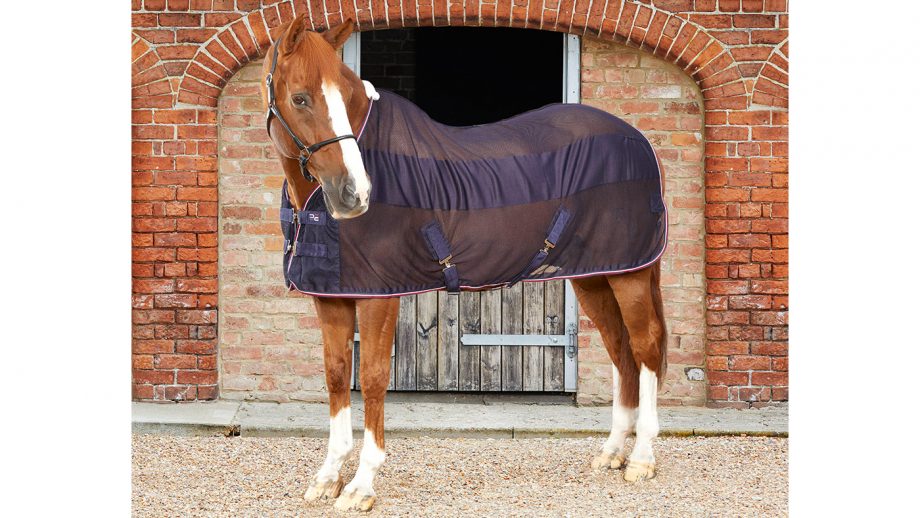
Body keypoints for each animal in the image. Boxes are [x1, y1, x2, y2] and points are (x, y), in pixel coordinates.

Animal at [260, 16, 668, 512]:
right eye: (300, 97)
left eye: (347, 94)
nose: (355, 194)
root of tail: (639, 142)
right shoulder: (332, 297)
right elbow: (338, 375)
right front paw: (327, 478)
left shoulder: (380, 297)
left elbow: (372, 378)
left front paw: (361, 486)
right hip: (595, 277)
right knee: (620, 349)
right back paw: (611, 453)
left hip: (630, 275)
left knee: (645, 348)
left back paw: (642, 459)